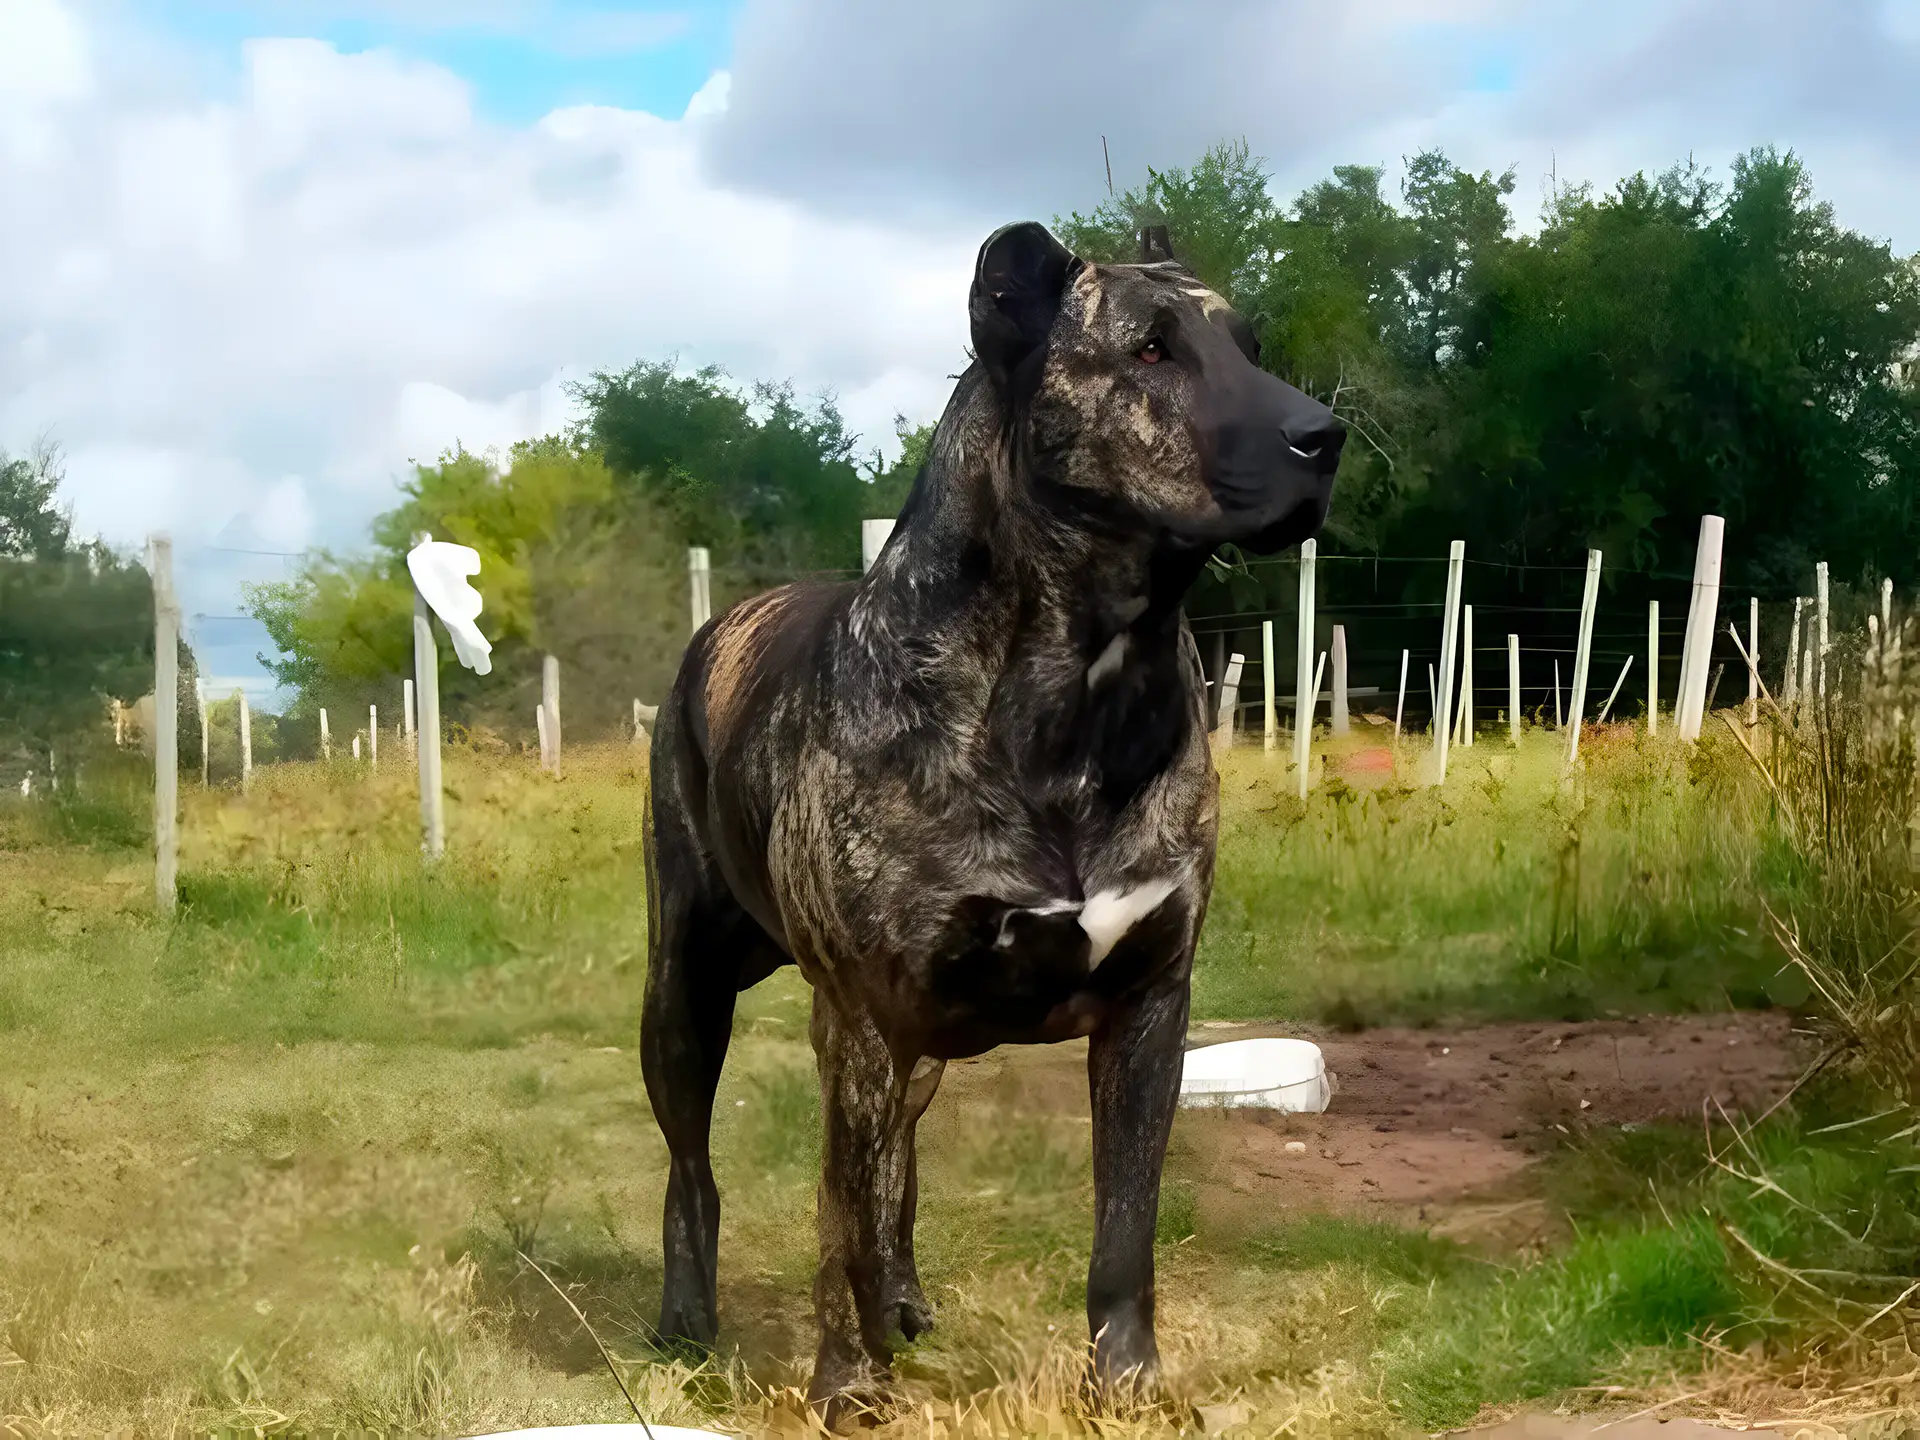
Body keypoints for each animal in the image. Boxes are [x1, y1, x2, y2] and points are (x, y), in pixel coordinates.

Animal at [641, 219, 1336, 1413]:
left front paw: (1128, 1384)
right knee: (700, 1169)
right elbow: (839, 1226)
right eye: (1151, 350)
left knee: (895, 1178)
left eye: (1248, 345)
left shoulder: (1150, 1006)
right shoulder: (860, 1019)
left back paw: (905, 1303)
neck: (1074, 684)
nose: (1322, 436)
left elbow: (1123, 1230)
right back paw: (689, 1322)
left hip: (910, 1052)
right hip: (683, 994)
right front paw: (847, 1387)